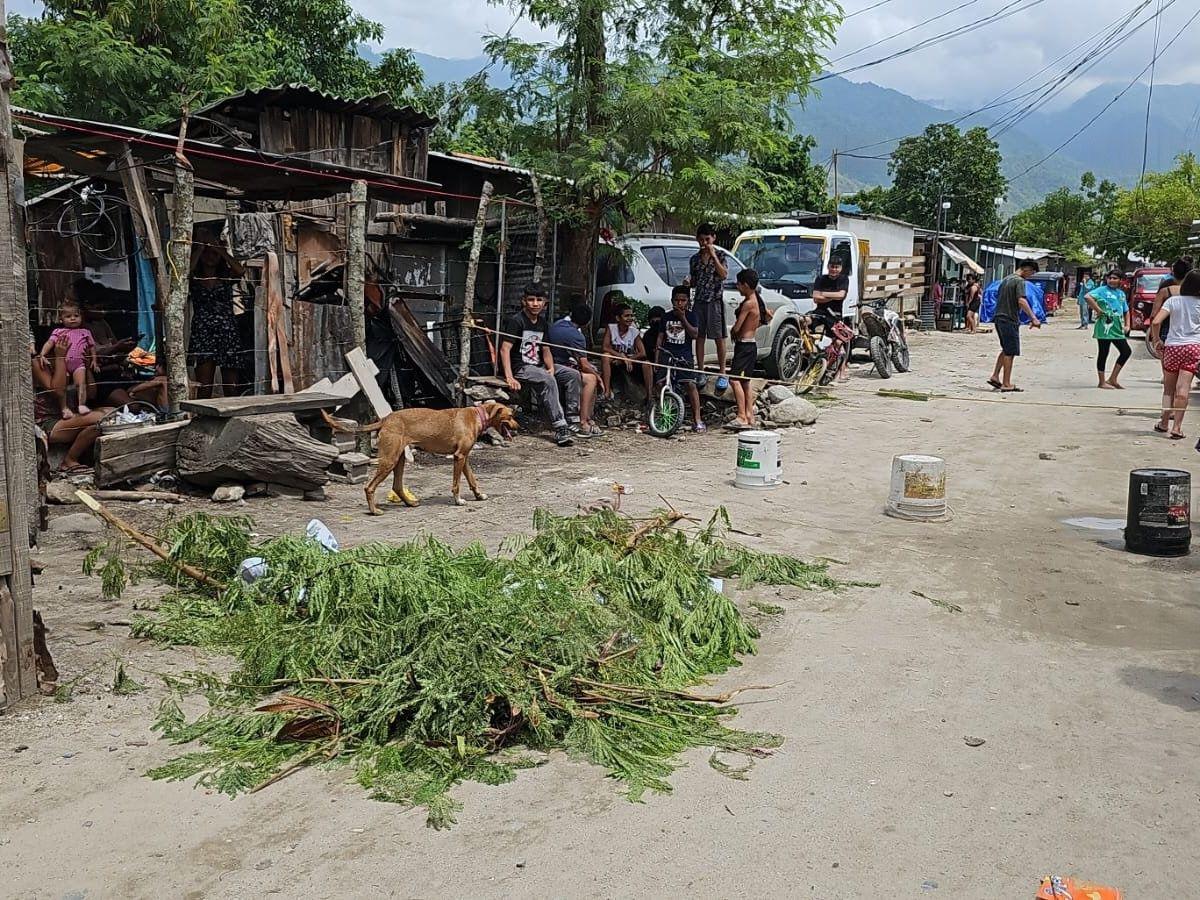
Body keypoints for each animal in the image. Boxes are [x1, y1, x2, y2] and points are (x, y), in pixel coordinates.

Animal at [324, 400, 516, 513]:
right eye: (511, 415)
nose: (518, 426)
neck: (478, 415)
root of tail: (386, 419)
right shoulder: (459, 457)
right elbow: (456, 484)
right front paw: (458, 500)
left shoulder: (464, 458)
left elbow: (472, 480)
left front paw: (478, 495)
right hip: (389, 460)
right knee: (369, 487)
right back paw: (375, 511)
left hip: (399, 459)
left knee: (396, 486)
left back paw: (410, 503)